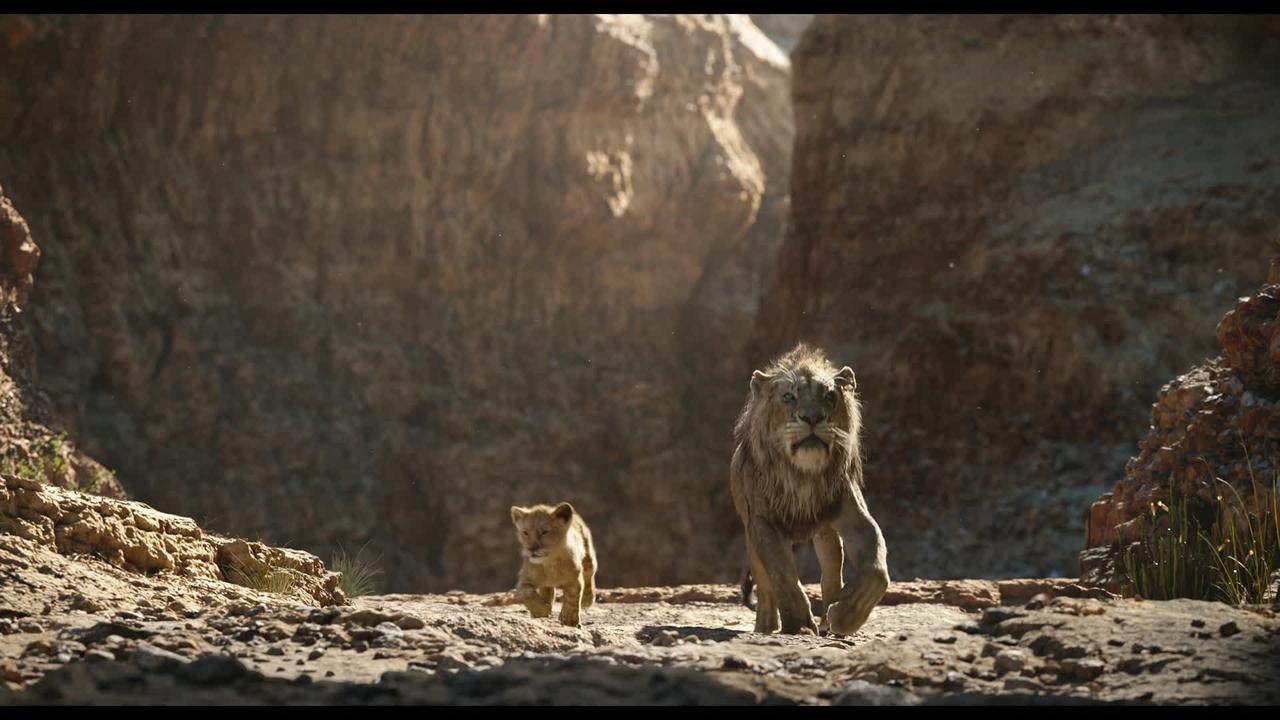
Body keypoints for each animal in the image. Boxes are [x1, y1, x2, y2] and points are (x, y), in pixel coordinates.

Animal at [729, 343, 889, 635]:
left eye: (829, 395)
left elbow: (876, 567)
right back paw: (766, 626)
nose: (812, 417)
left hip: (826, 535)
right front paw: (800, 625)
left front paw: (846, 617)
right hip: (750, 535)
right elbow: (783, 577)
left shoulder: (852, 512)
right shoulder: (763, 523)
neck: (803, 474)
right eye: (789, 396)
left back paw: (828, 619)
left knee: (831, 574)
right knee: (765, 585)